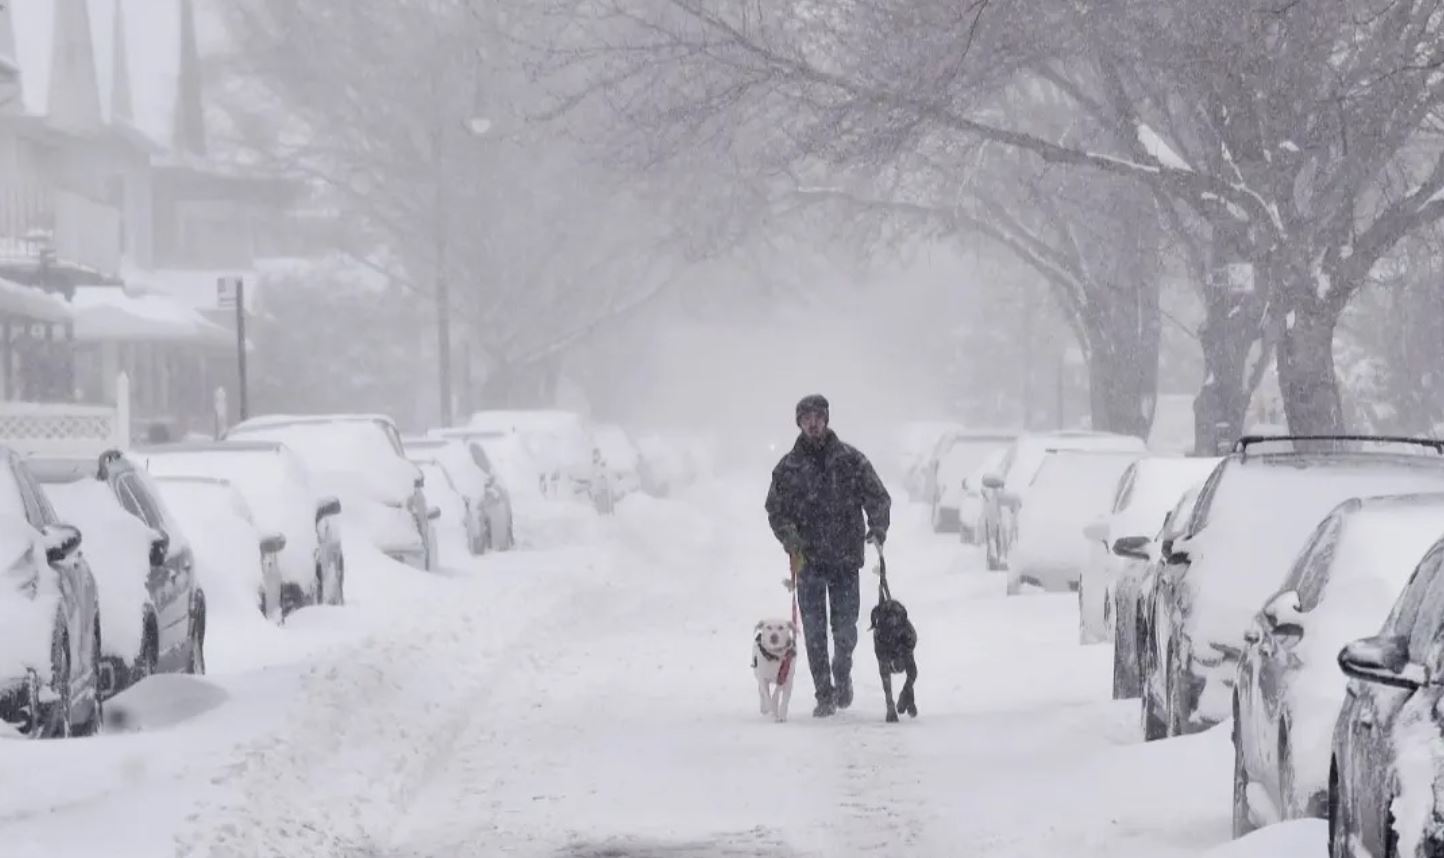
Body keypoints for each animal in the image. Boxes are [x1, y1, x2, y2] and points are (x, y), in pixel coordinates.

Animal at [866, 551, 912, 719]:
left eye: (898, 613)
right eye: (884, 613)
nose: (892, 623)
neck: (893, 642)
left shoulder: (910, 663)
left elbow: (909, 685)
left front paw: (905, 705)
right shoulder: (884, 667)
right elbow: (888, 693)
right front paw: (892, 714)